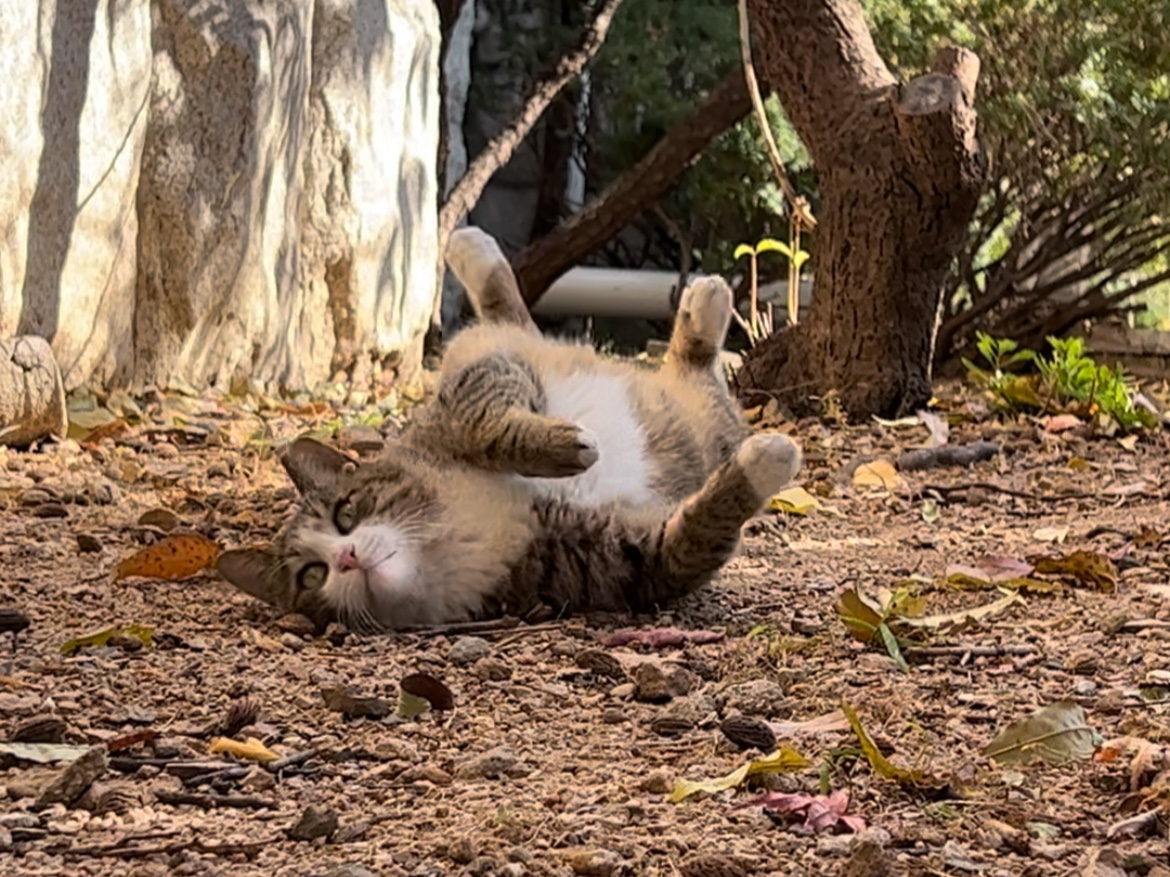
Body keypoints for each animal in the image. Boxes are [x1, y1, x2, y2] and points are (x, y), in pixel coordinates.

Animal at [216, 227, 803, 631]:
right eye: (312, 576)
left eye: (345, 513)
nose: (347, 556)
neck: (467, 525)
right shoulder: (615, 561)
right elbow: (692, 537)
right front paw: (767, 459)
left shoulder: (463, 400)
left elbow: (486, 419)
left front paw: (564, 447)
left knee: (513, 320)